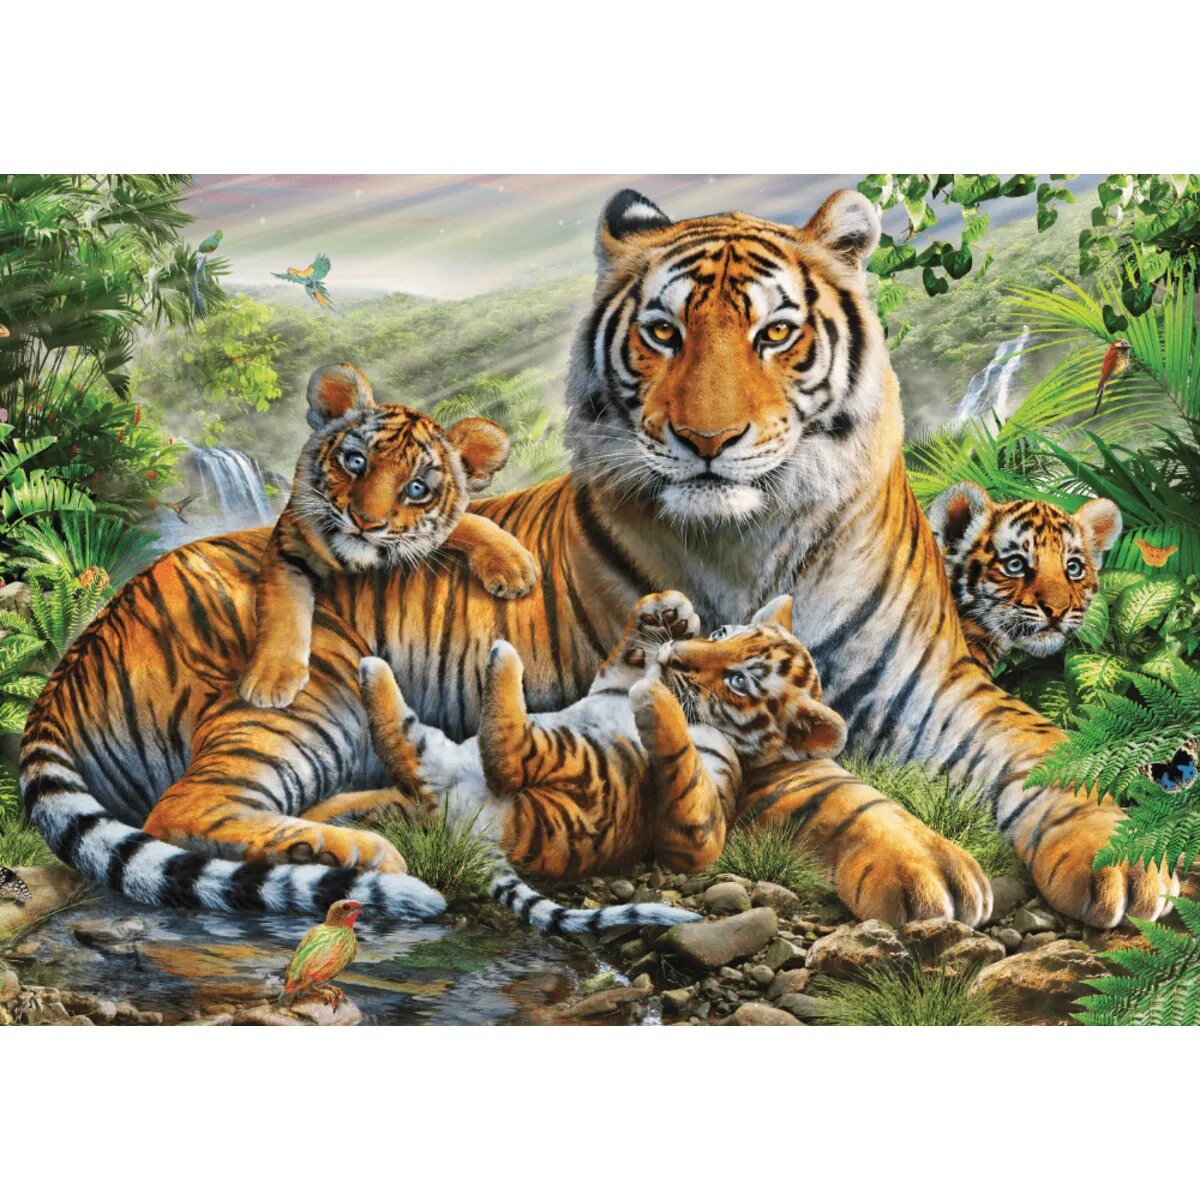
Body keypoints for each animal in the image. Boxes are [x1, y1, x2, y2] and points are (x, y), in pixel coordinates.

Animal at [238, 362, 539, 708]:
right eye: (356, 461)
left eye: (417, 488)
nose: (365, 522)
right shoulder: (290, 544)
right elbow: (283, 607)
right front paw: (271, 678)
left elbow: (467, 522)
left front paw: (514, 566)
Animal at [358, 590, 846, 931]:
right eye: (722, 634)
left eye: (739, 681)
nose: (675, 655)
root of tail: (470, 831)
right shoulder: (612, 681)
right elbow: (625, 656)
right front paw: (669, 609)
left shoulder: (700, 833)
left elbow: (684, 770)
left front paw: (655, 697)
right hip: (440, 755)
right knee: (402, 748)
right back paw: (373, 669)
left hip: (583, 770)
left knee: (511, 755)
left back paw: (503, 657)